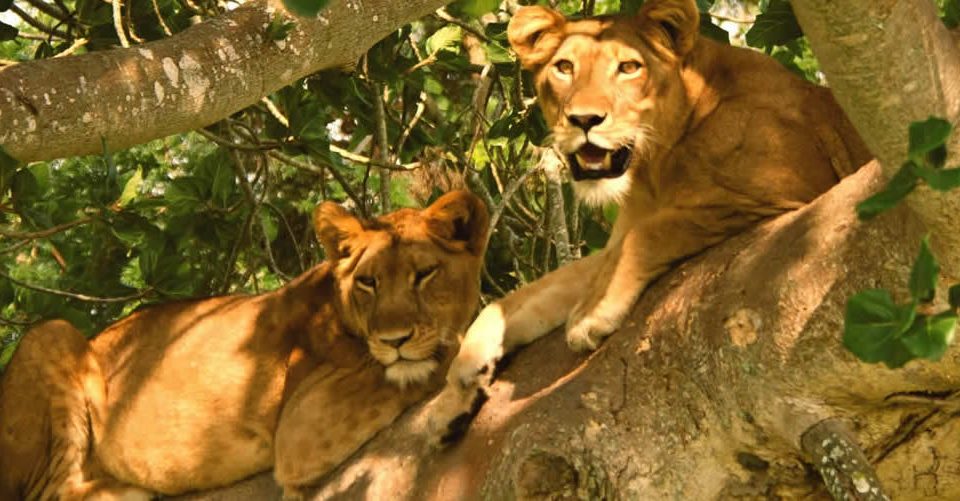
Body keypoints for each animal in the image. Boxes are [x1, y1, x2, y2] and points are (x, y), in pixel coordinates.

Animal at [0, 190, 489, 500]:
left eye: (424, 274)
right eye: (369, 282)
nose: (395, 340)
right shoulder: (303, 426)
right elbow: (433, 362)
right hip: (52, 333)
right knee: (54, 493)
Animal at [428, 0, 873, 438]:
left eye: (628, 67)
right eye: (564, 67)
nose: (584, 120)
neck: (654, 166)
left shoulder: (785, 193)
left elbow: (648, 234)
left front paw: (592, 314)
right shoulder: (614, 239)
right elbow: (528, 295)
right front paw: (457, 381)